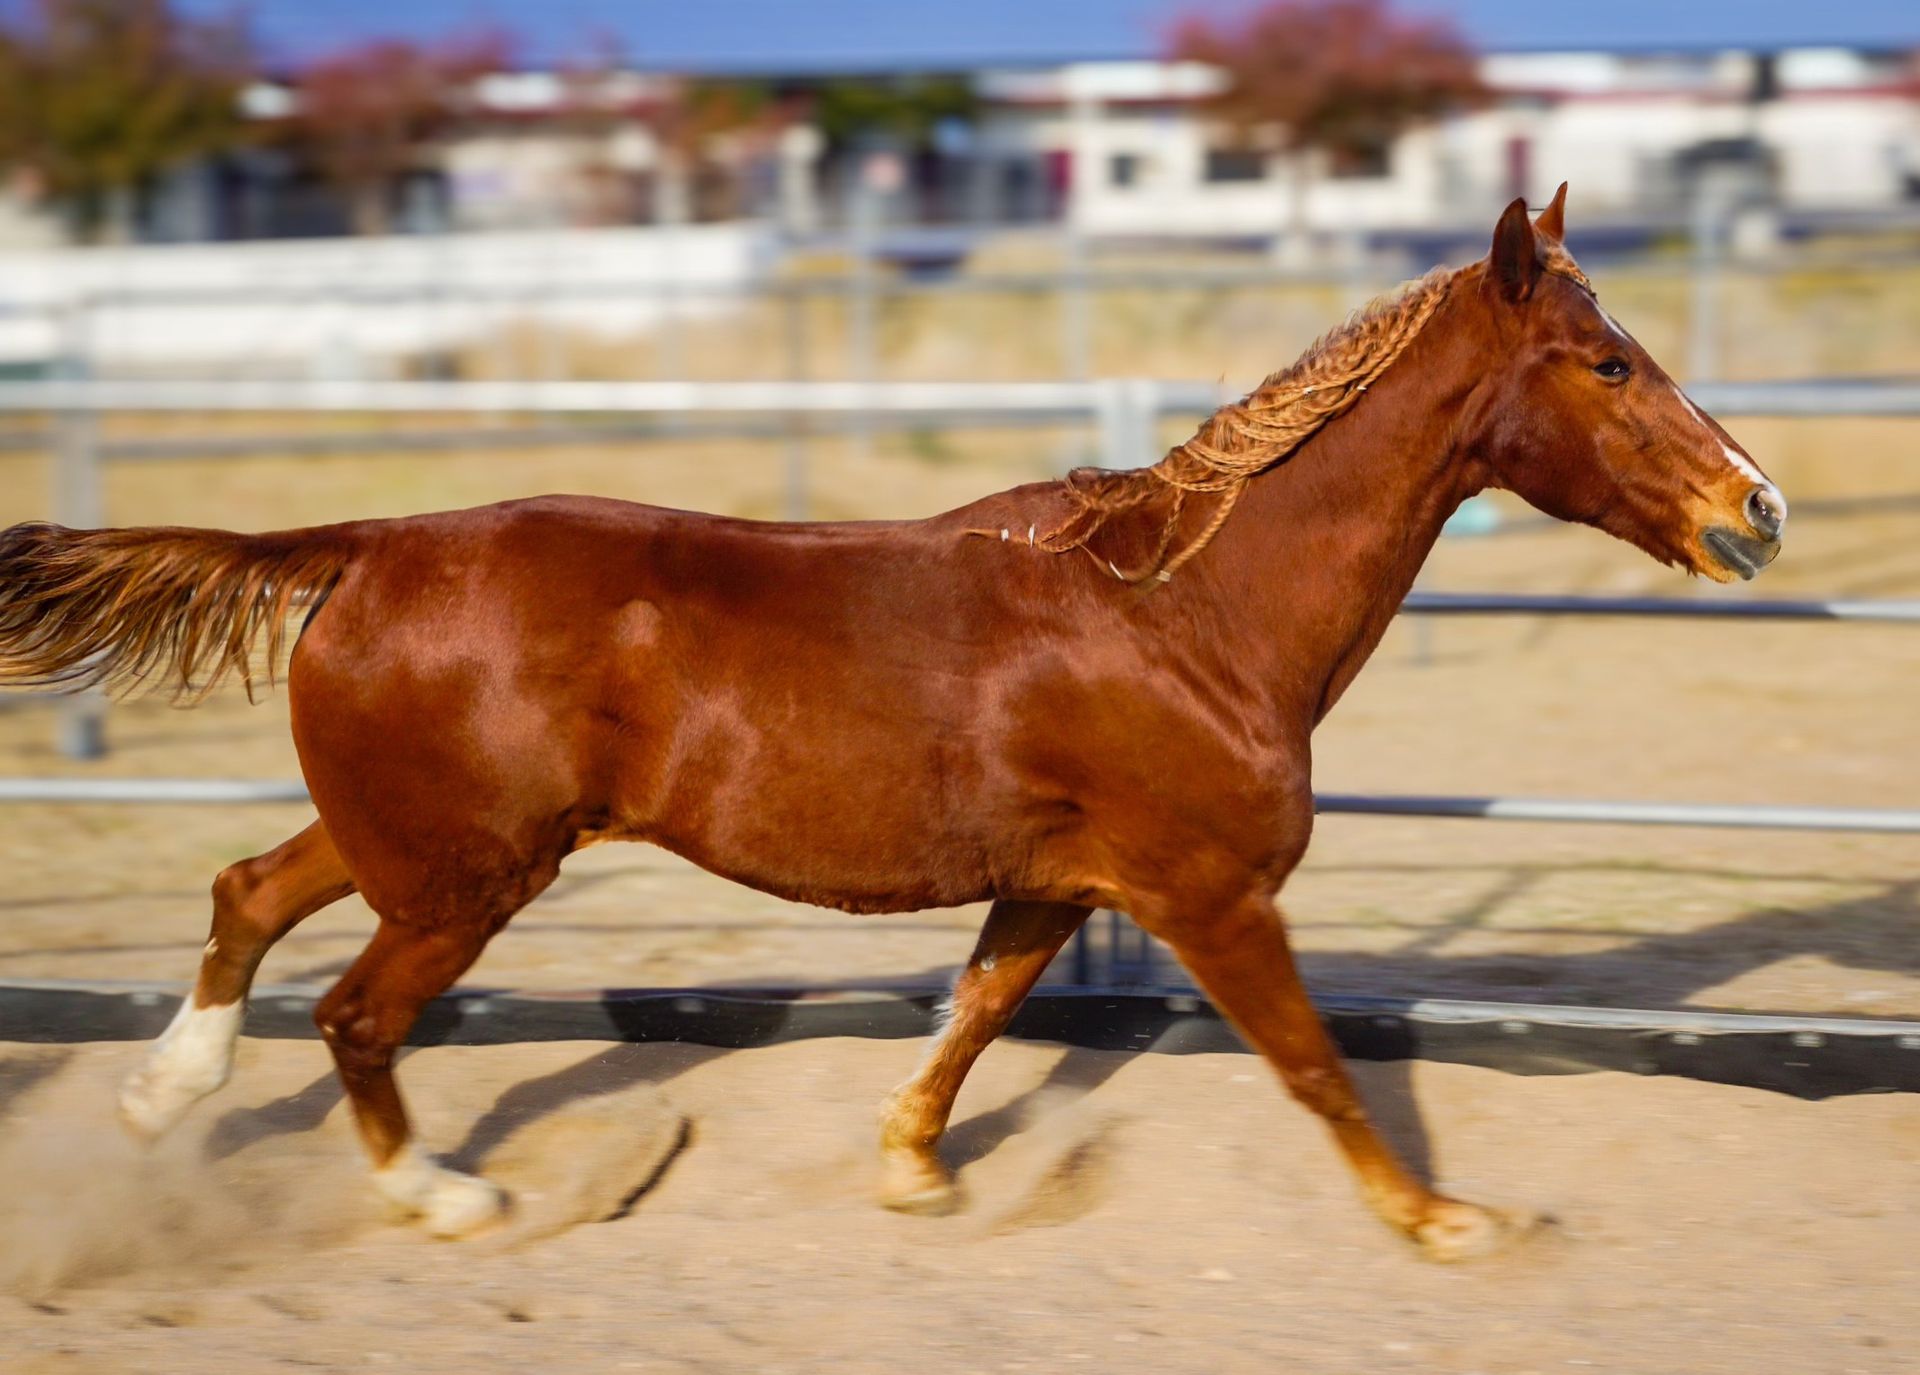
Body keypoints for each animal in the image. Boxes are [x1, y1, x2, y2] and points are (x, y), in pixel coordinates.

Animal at [0, 186, 1784, 1260]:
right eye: (1607, 362)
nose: (1755, 511)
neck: (1191, 611)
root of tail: (364, 541)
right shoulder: (1210, 892)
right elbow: (1312, 1063)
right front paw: (1445, 1216)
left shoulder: (1059, 882)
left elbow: (974, 1014)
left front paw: (913, 1167)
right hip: (464, 874)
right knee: (357, 1012)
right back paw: (440, 1191)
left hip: (414, 838)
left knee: (247, 893)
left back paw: (161, 1102)